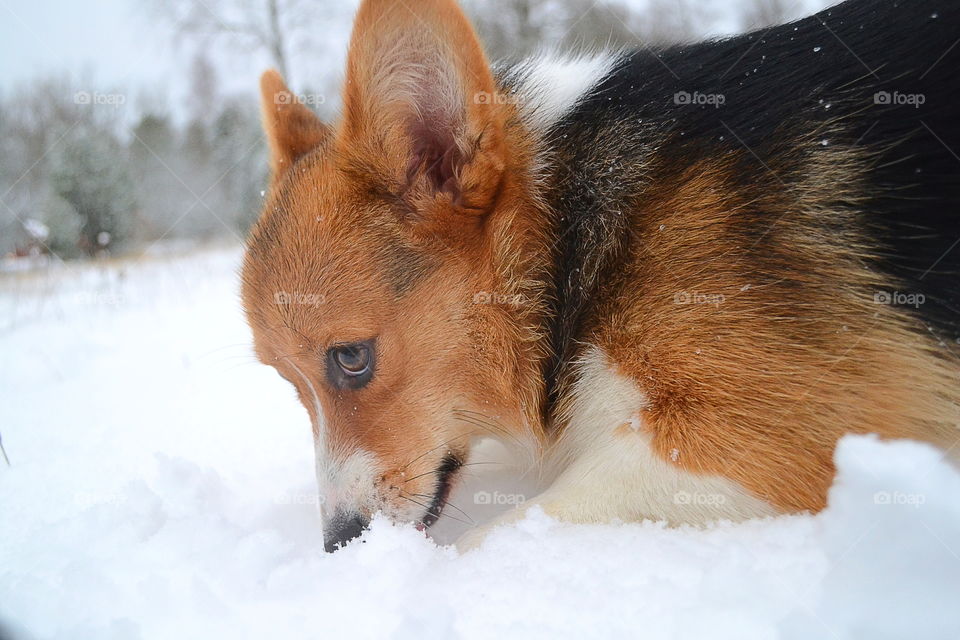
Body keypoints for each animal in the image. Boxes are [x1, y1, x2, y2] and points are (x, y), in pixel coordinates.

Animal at [240, 0, 960, 552]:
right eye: (288, 384)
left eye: (351, 359)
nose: (339, 542)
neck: (565, 250)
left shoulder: (767, 441)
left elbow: (494, 537)